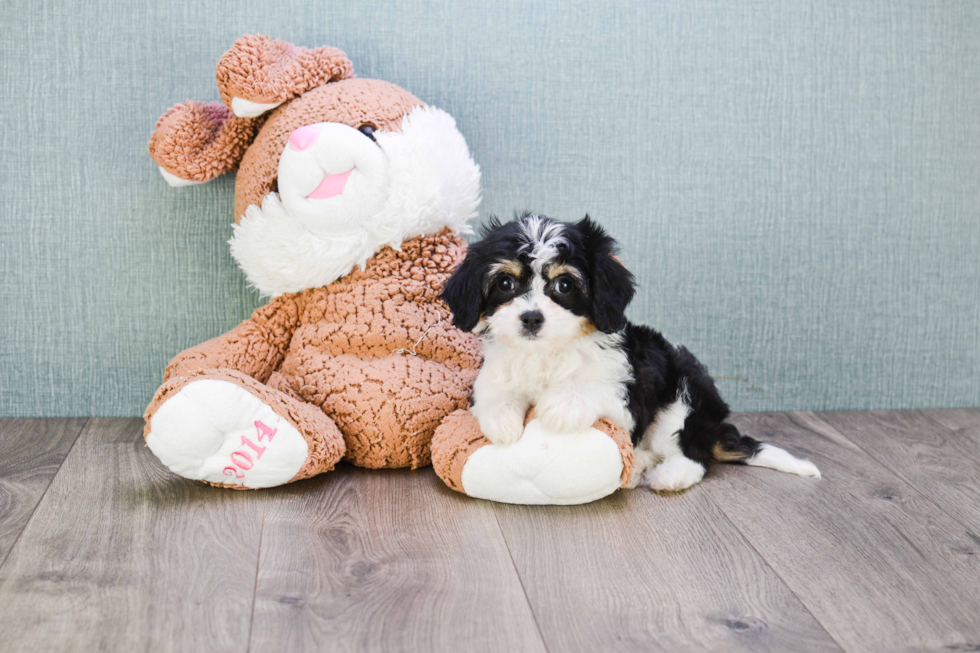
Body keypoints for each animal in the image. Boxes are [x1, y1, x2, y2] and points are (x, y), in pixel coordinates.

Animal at [438, 211, 820, 492]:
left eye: (564, 285)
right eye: (505, 283)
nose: (531, 317)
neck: (547, 353)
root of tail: (712, 424)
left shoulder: (626, 398)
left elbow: (593, 387)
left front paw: (562, 406)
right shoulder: (498, 368)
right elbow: (494, 389)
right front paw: (501, 419)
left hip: (683, 397)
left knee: (694, 453)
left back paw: (668, 476)